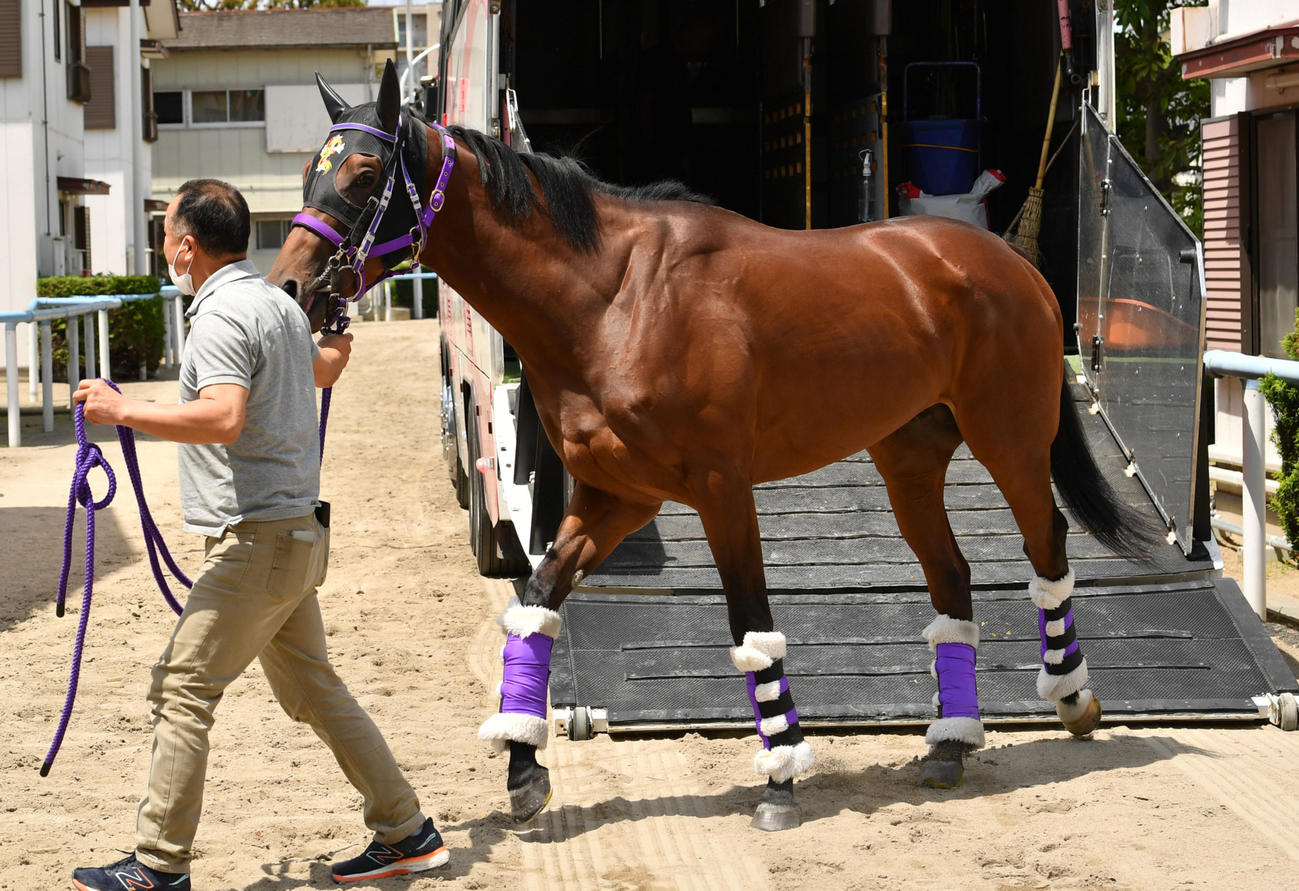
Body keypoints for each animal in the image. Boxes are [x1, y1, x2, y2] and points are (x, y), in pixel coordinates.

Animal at [269, 60, 1156, 832]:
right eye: (311, 172)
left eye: (360, 175)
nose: (290, 287)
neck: (614, 299)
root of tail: (1006, 260)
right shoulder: (617, 496)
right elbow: (538, 603)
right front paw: (523, 766)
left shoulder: (720, 488)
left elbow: (750, 625)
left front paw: (780, 777)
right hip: (907, 457)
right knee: (952, 576)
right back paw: (949, 742)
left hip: (1009, 437)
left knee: (1045, 541)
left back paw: (1071, 696)